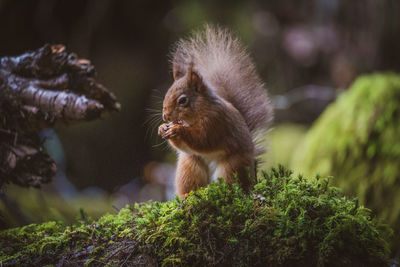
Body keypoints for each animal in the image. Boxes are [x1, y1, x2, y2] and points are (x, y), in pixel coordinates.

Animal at [158, 25, 274, 199]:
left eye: (182, 100)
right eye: (166, 93)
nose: (166, 116)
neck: (199, 111)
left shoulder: (216, 121)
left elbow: (203, 139)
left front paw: (178, 130)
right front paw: (162, 128)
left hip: (232, 166)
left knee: (233, 184)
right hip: (189, 166)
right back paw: (187, 195)